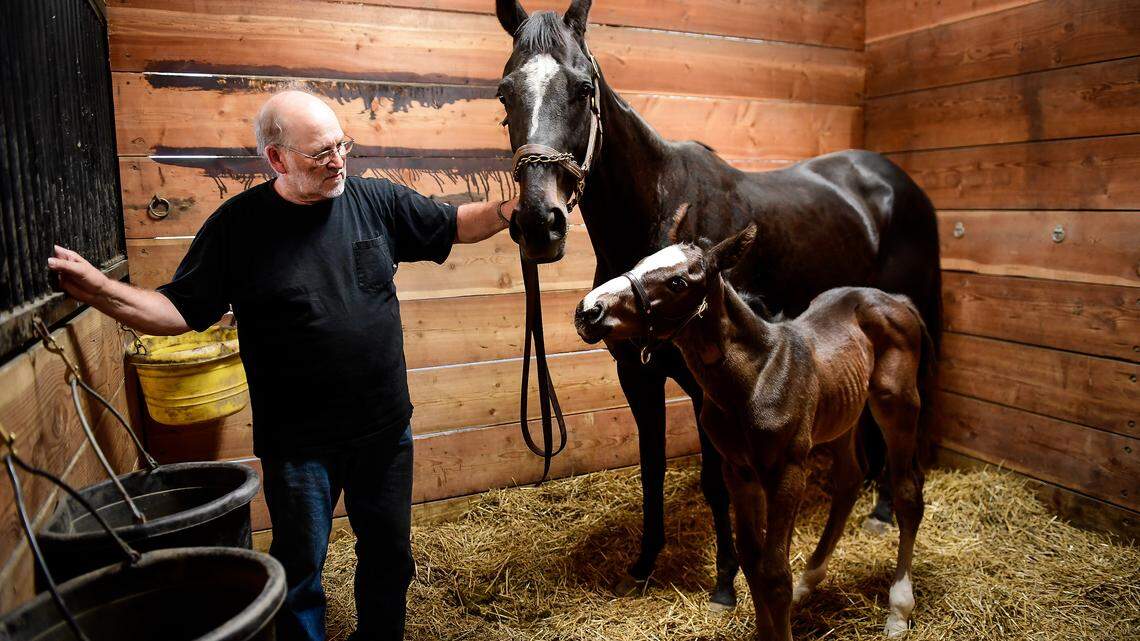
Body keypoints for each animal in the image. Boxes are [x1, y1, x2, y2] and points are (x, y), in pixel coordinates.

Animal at [575, 221, 931, 639]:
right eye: (640, 262)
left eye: (678, 282)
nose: (589, 310)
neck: (754, 376)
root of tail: (898, 300)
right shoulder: (738, 470)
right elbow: (751, 559)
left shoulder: (788, 471)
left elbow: (774, 573)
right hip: (844, 414)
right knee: (849, 479)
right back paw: (812, 580)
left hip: (897, 403)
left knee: (907, 492)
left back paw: (898, 610)